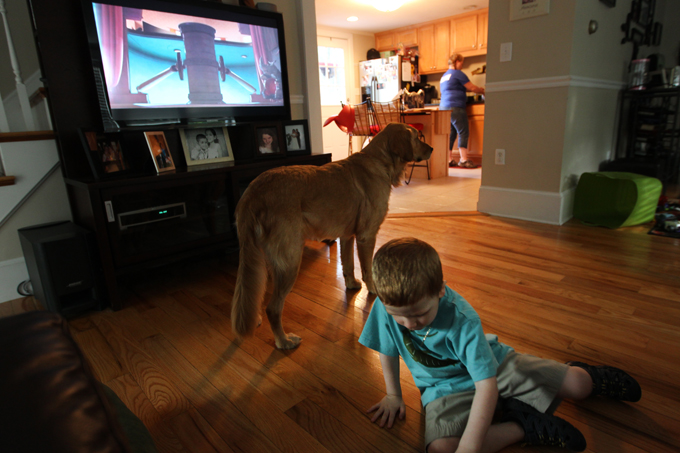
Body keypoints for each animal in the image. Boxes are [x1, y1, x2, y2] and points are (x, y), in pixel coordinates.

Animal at [231, 122, 432, 348]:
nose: (432, 149)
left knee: (253, 293)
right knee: (273, 309)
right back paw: (284, 341)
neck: (380, 159)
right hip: (289, 261)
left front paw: (352, 285)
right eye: (416, 137)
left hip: (259, 258)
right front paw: (374, 291)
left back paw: (255, 319)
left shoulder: (347, 236)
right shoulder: (366, 235)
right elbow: (367, 269)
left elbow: (348, 265)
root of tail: (252, 191)